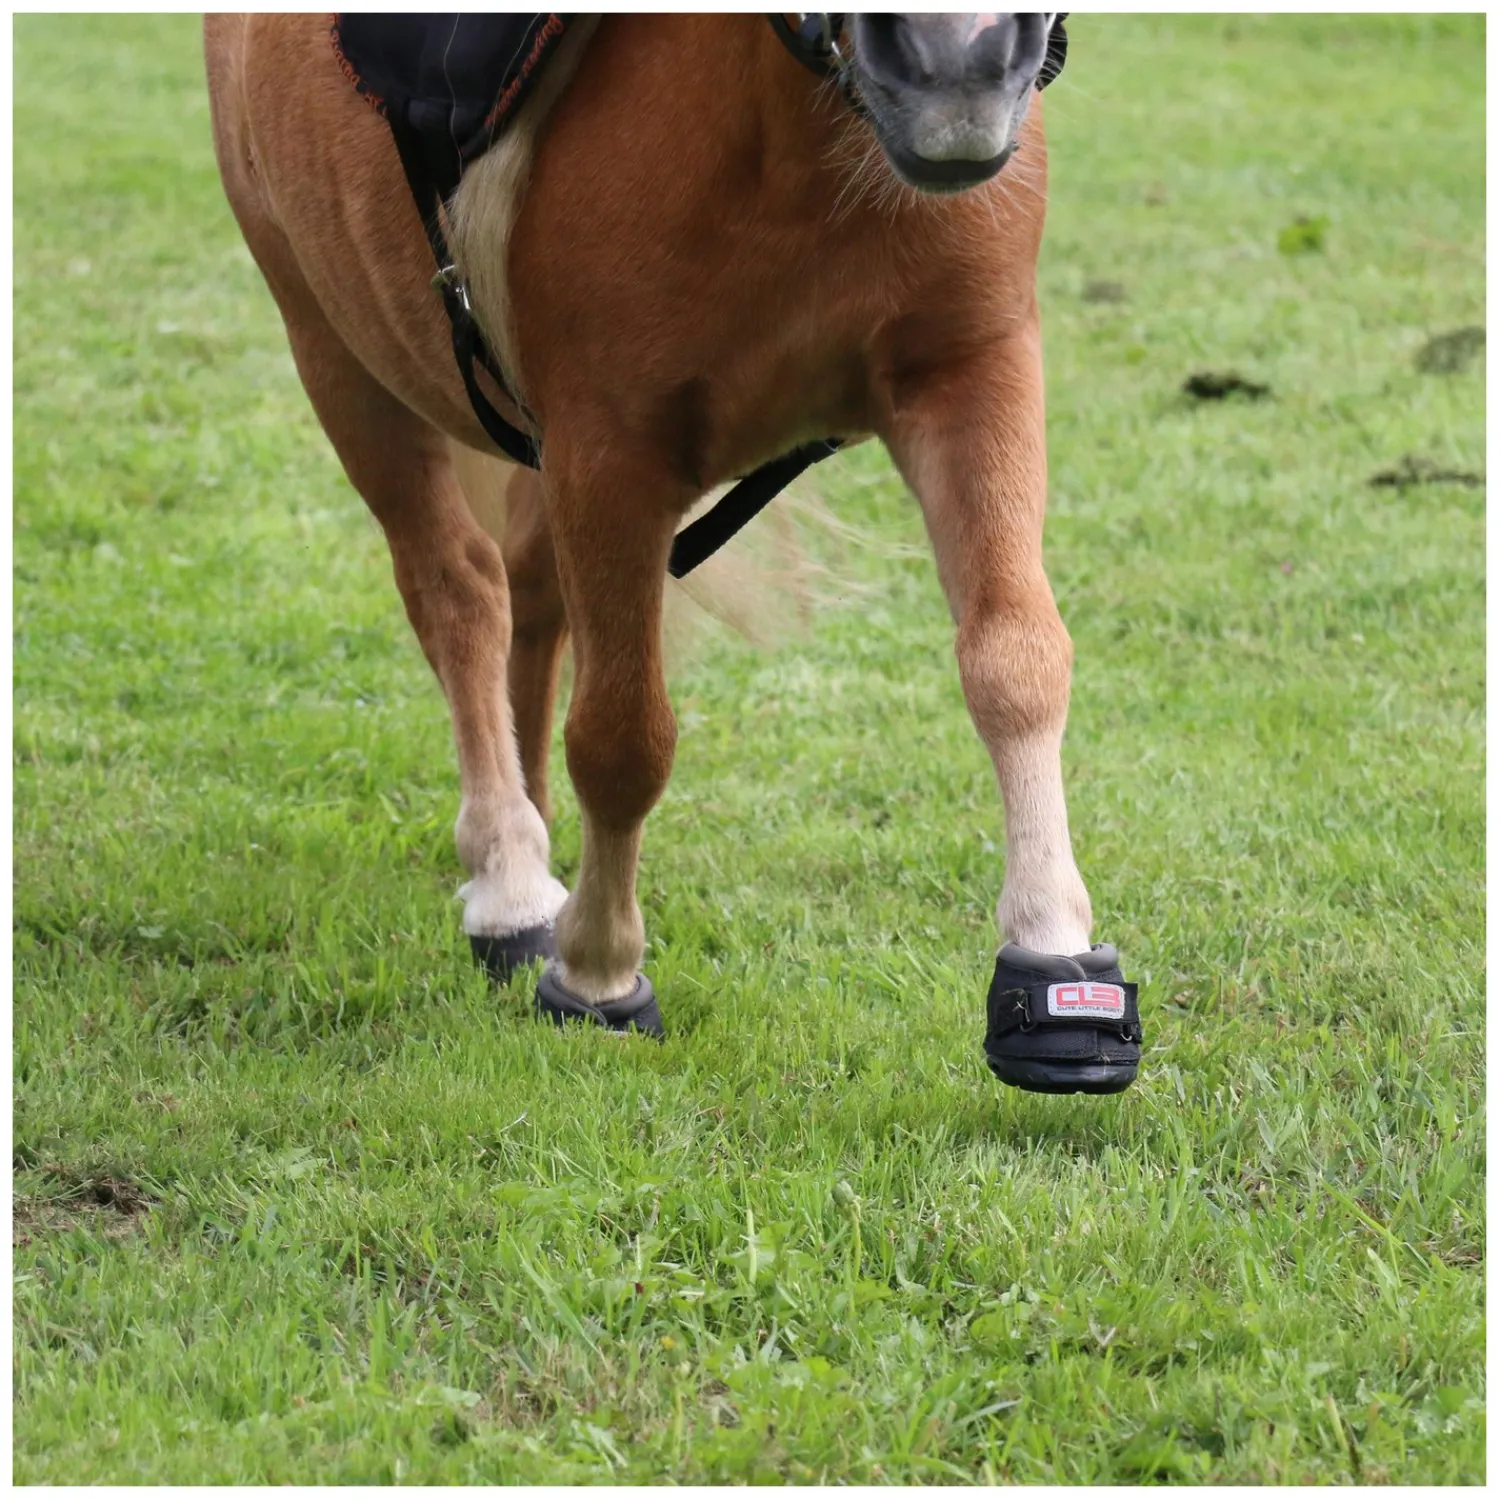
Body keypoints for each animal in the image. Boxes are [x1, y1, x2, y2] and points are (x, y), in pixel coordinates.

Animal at [203, 12, 1142, 1094]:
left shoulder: (971, 374)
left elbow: (1016, 660)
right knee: (459, 593)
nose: (962, 61)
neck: (788, 135)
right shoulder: (609, 452)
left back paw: (533, 836)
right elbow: (623, 738)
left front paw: (1054, 957)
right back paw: (509, 875)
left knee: (531, 601)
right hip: (337, 357)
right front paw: (600, 975)